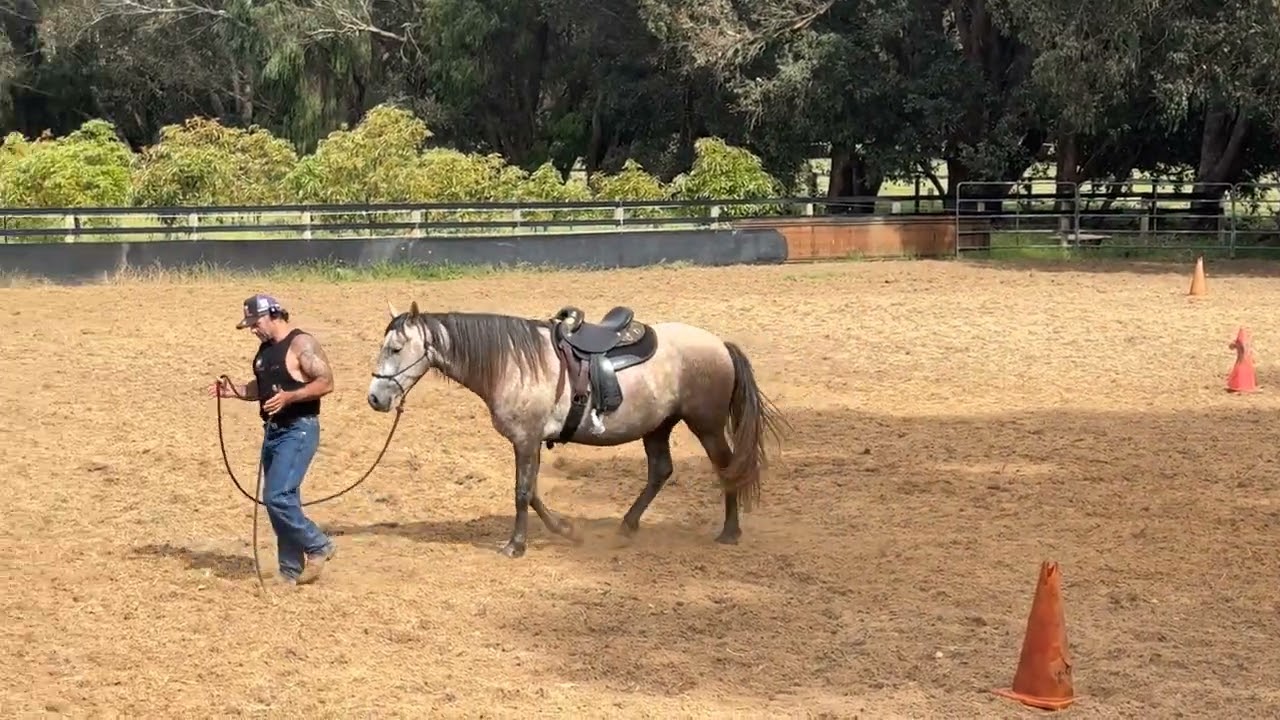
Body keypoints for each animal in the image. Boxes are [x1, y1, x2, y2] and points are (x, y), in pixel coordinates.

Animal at [365, 300, 787, 559]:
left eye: (396, 349)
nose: (375, 398)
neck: (513, 362)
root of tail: (720, 344)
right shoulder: (531, 441)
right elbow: (533, 491)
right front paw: (565, 529)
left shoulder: (526, 439)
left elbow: (522, 492)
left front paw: (516, 545)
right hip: (657, 426)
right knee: (660, 471)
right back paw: (627, 525)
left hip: (707, 426)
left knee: (727, 469)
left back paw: (729, 532)